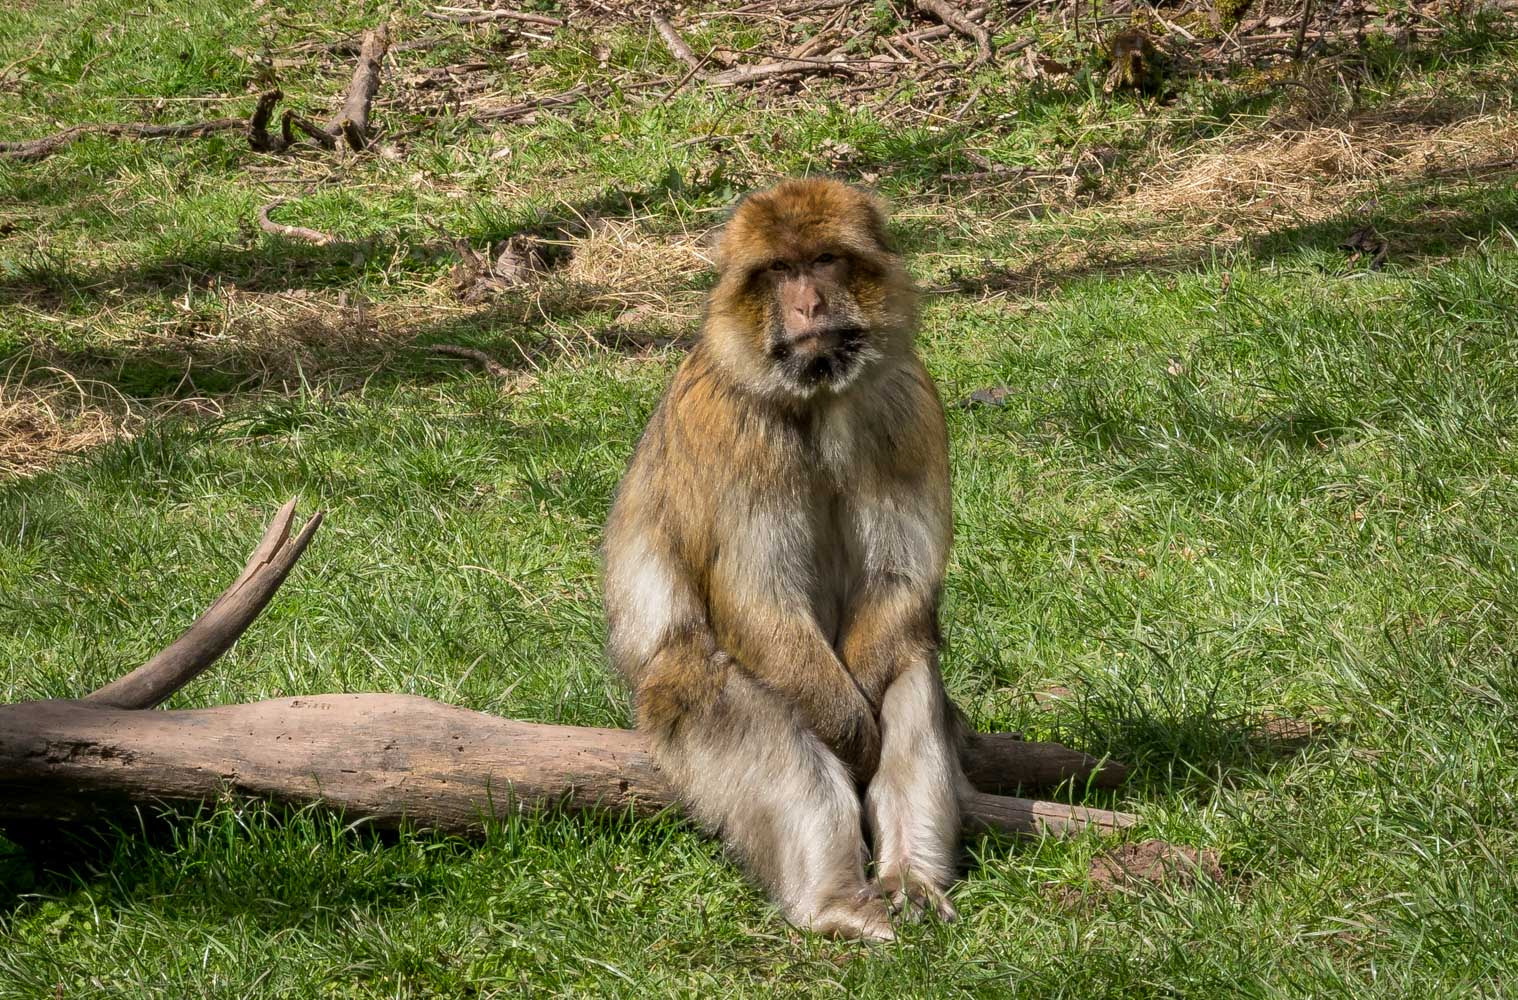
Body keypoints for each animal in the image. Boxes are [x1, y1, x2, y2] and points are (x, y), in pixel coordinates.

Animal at [601, 178, 967, 941]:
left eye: (823, 260)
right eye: (777, 271)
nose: (807, 305)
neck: (821, 395)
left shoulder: (905, 401)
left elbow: (899, 582)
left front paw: (871, 728)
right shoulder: (732, 426)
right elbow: (758, 599)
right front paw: (852, 733)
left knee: (911, 665)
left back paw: (909, 879)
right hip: (673, 702)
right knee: (754, 709)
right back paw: (836, 902)